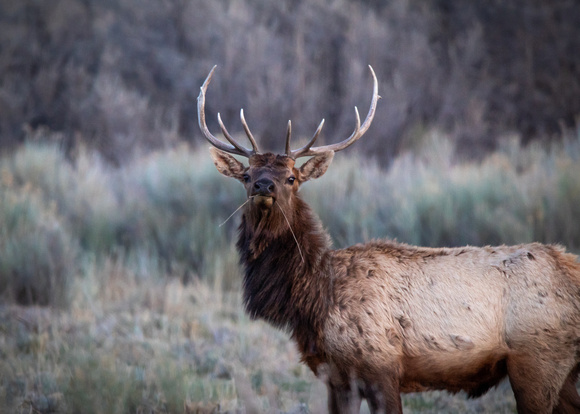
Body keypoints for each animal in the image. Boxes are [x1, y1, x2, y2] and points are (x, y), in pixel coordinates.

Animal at [196, 65, 580, 414]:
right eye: (247, 175)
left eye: (291, 177)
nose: (264, 186)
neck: (316, 298)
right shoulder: (337, 378)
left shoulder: (381, 367)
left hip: (537, 359)